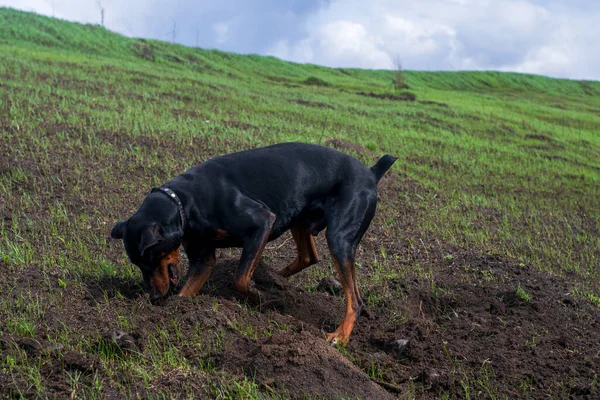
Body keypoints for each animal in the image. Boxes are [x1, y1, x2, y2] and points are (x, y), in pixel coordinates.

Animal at [111, 141, 394, 344]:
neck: (183, 202)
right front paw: (175, 311)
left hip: (339, 238)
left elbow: (240, 280)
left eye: (150, 257)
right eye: (138, 264)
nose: (153, 297)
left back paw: (340, 336)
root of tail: (371, 173)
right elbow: (187, 290)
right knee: (308, 257)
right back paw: (276, 278)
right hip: (300, 218)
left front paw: (265, 300)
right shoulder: (203, 258)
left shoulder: (261, 223)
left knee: (355, 299)